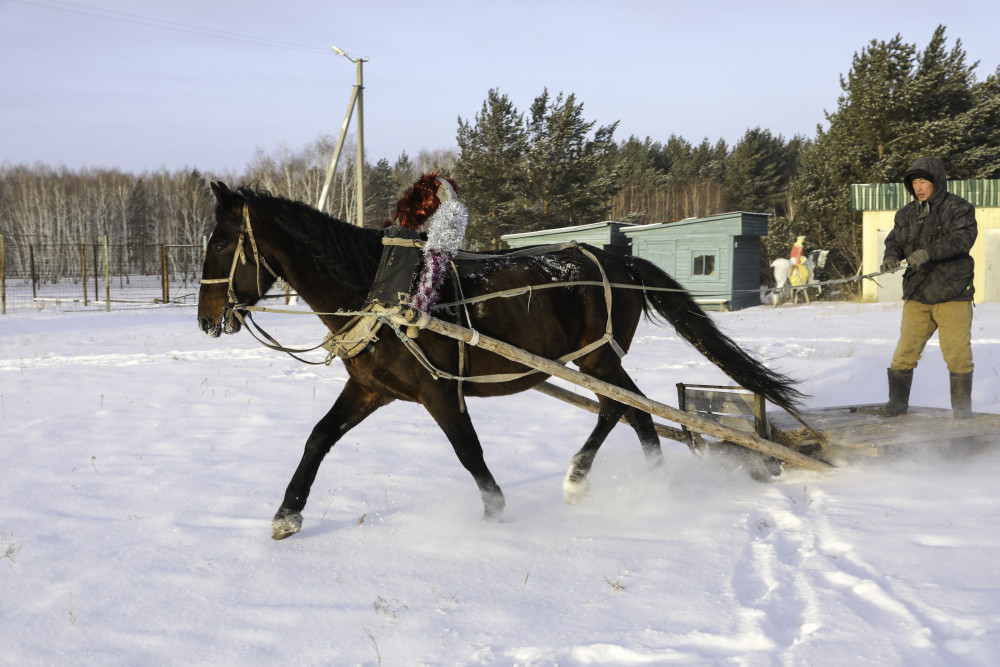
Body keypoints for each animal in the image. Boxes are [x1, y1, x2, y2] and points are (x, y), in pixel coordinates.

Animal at [199, 180, 800, 540]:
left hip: (597, 359)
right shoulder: (372, 388)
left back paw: (587, 479)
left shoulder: (440, 390)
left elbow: (469, 452)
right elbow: (318, 438)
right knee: (635, 411)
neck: (381, 288)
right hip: (597, 361)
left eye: (223, 244)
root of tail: (618, 260)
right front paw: (287, 514)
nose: (206, 319)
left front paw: (494, 512)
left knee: (621, 408)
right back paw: (651, 481)